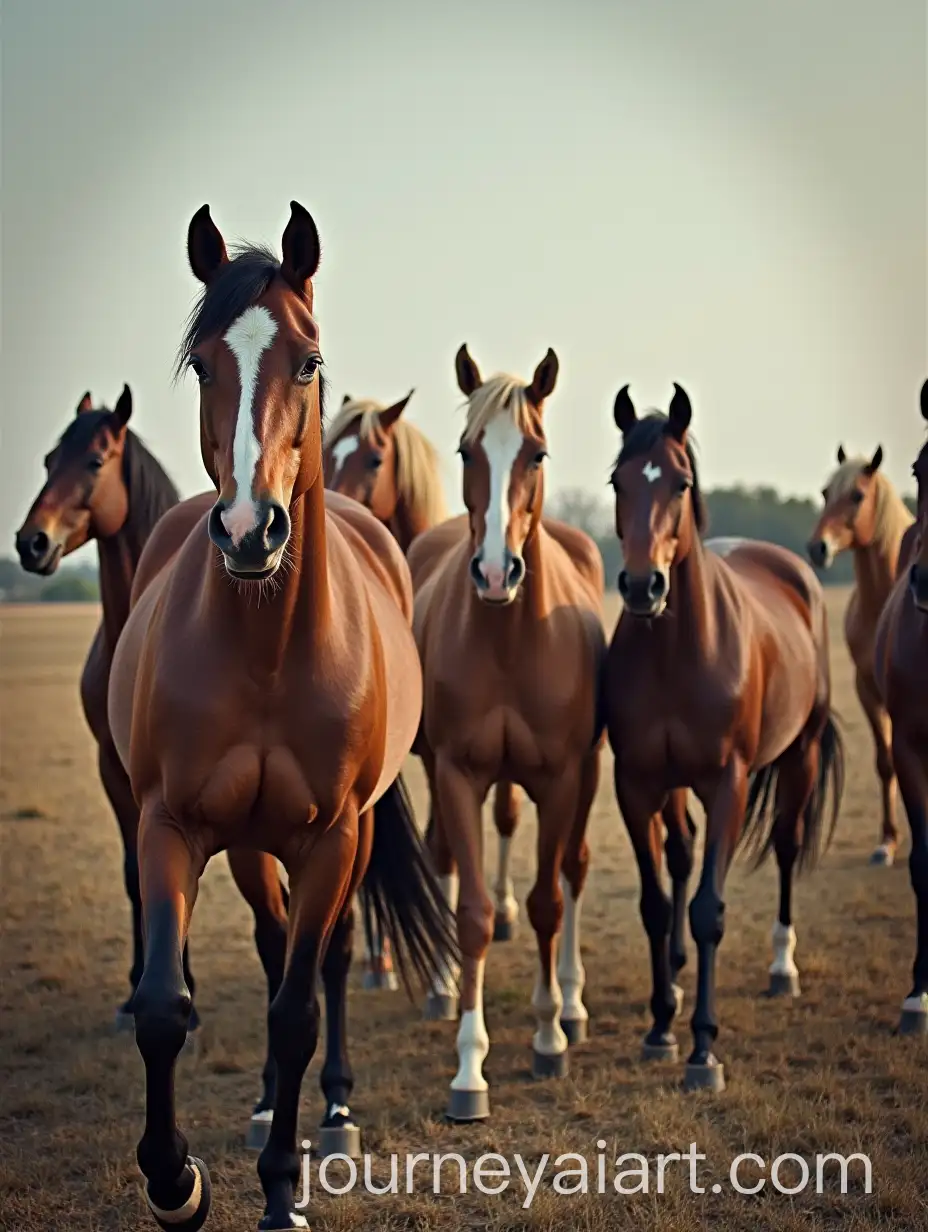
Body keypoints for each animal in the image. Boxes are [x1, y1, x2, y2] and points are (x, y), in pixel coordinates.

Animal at [107, 201, 454, 1231]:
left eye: (307, 360)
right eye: (202, 364)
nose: (248, 529)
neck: (265, 652)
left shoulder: (332, 836)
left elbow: (300, 1006)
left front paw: (282, 1194)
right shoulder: (169, 824)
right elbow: (161, 1008)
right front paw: (176, 1181)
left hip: (345, 836)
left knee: (324, 961)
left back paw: (328, 1112)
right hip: (251, 844)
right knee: (269, 950)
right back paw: (268, 1107)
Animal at [406, 343, 608, 1120]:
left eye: (537, 453)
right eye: (468, 450)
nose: (495, 571)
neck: (509, 637)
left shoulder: (562, 777)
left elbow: (550, 900)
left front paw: (549, 1037)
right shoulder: (458, 771)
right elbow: (471, 909)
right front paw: (469, 1069)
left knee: (574, 871)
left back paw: (573, 1008)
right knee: (441, 854)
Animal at [604, 383, 845, 1093]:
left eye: (680, 483)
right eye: (618, 480)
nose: (641, 586)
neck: (677, 651)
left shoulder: (728, 783)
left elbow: (708, 908)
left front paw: (704, 1049)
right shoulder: (638, 783)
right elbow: (658, 902)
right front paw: (660, 1026)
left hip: (800, 755)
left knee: (788, 846)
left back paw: (782, 969)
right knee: (682, 857)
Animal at [807, 444, 914, 865]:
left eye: (857, 495)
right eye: (825, 493)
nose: (817, 548)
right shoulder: (867, 689)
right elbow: (885, 763)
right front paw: (887, 842)